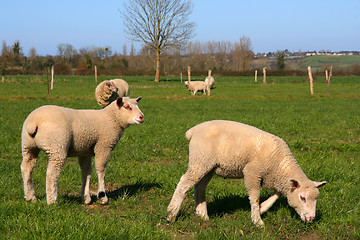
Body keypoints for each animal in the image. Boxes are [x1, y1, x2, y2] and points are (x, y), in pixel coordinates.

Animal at [167, 120, 328, 227]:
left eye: (316, 198)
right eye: (303, 198)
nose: (312, 219)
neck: (280, 164)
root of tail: (194, 130)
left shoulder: (275, 179)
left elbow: (276, 195)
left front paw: (262, 209)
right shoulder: (252, 173)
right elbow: (255, 197)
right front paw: (257, 221)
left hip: (208, 166)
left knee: (199, 187)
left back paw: (202, 215)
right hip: (200, 159)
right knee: (184, 183)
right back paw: (171, 214)